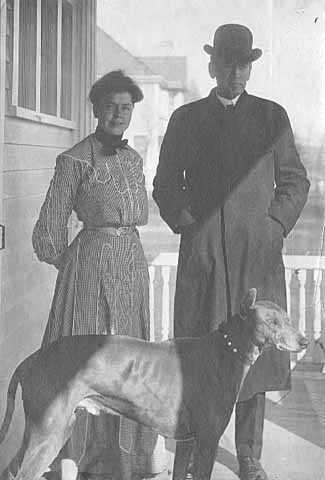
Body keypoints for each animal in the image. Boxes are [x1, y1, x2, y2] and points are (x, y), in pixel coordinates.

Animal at [0, 288, 306, 480]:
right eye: (272, 322)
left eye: (288, 318)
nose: (303, 341)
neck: (226, 349)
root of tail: (30, 360)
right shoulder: (207, 442)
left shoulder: (187, 442)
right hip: (47, 434)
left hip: (46, 432)